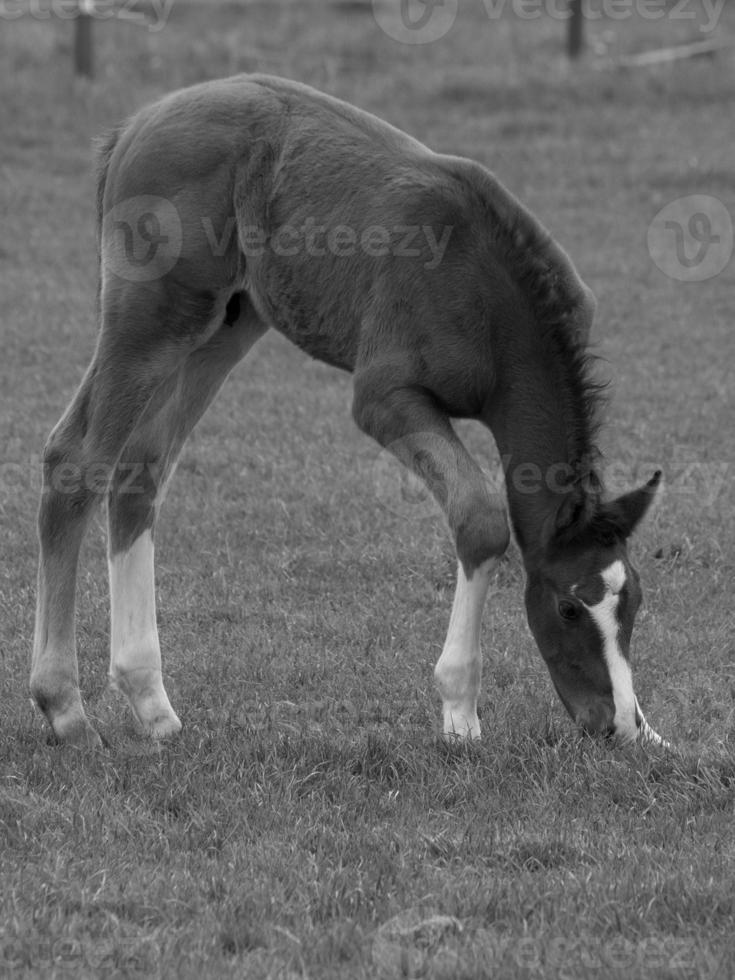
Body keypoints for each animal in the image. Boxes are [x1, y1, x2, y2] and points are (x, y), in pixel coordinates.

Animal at [31, 74, 668, 752]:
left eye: (633, 604)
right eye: (568, 606)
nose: (616, 724)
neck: (497, 298)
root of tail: (135, 124)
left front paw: (655, 733)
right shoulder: (386, 398)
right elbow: (480, 519)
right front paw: (460, 711)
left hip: (223, 325)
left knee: (140, 471)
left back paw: (151, 703)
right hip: (151, 319)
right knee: (76, 459)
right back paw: (65, 707)